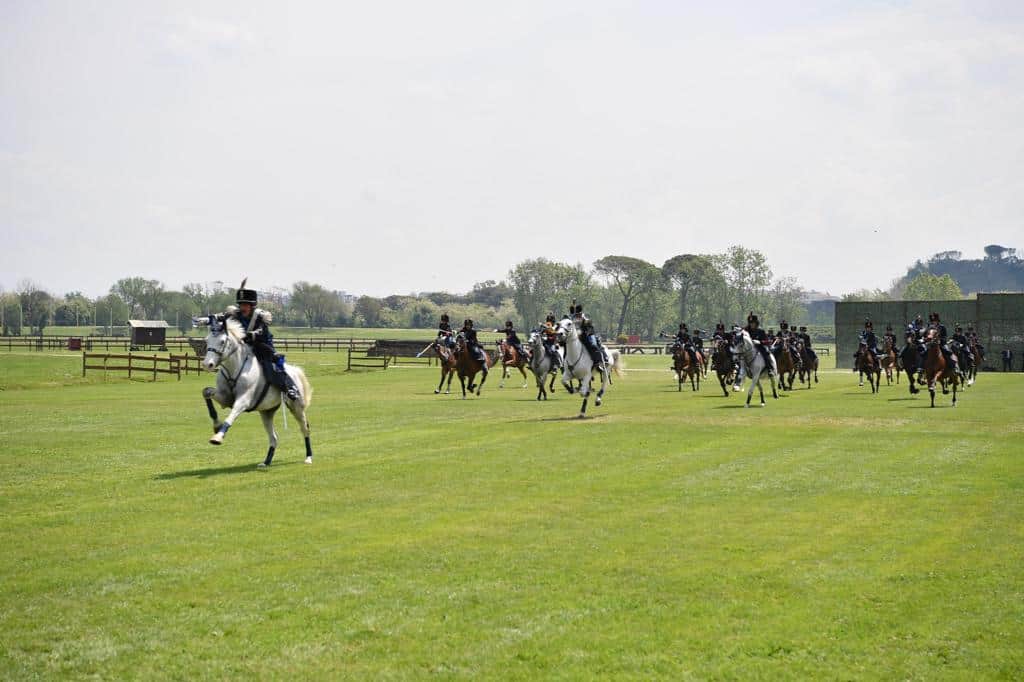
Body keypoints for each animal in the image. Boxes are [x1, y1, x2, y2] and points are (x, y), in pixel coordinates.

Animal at [198, 315, 311, 464]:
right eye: (207, 340)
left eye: (222, 341)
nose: (207, 364)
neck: (235, 368)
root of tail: (295, 372)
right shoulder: (225, 398)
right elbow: (206, 392)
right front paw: (216, 425)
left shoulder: (243, 401)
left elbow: (231, 416)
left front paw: (218, 437)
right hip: (266, 413)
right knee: (274, 437)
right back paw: (266, 461)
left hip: (296, 407)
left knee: (305, 429)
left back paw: (308, 457)